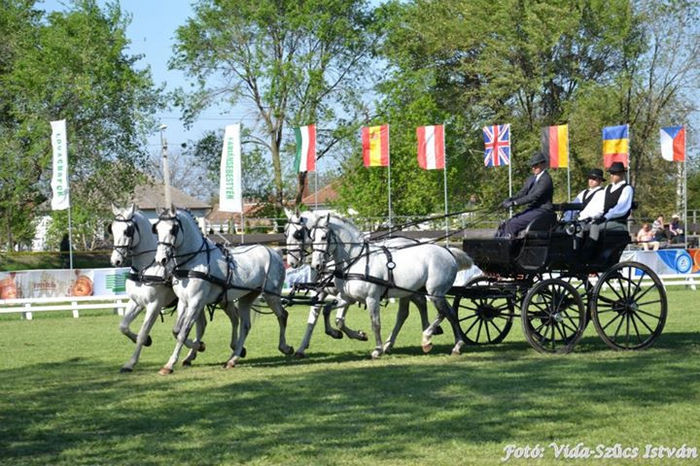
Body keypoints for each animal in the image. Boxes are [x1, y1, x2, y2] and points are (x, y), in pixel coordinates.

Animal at [109, 206, 206, 374]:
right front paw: (147, 341)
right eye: (112, 229)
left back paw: (196, 348)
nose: (116, 260)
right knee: (201, 325)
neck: (146, 268)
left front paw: (130, 363)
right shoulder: (136, 302)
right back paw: (191, 354)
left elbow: (143, 333)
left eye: (128, 231)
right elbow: (123, 327)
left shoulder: (154, 306)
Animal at [153, 208, 292, 374]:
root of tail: (274, 252)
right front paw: (198, 347)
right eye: (156, 229)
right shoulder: (184, 302)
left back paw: (285, 347)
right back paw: (233, 358)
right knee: (245, 325)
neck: (194, 261)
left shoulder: (195, 302)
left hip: (271, 295)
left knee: (282, 316)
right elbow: (176, 331)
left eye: (173, 229)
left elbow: (183, 332)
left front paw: (170, 364)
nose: (161, 259)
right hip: (246, 297)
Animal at [308, 213, 474, 358]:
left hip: (435, 292)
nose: (316, 265)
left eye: (323, 237)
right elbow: (331, 313)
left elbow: (375, 323)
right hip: (418, 292)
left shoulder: (372, 298)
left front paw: (377, 350)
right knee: (442, 312)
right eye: (312, 237)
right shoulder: (347, 297)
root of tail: (447, 251)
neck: (356, 260)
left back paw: (430, 338)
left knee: (444, 312)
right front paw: (348, 334)